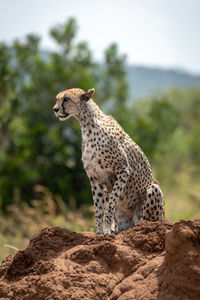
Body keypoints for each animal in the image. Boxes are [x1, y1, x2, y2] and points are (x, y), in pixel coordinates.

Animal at [52, 88, 164, 234]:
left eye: (66, 99)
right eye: (57, 99)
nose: (55, 109)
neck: (87, 125)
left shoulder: (123, 170)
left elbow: (110, 203)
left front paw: (106, 229)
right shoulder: (95, 176)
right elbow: (98, 207)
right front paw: (99, 231)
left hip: (153, 192)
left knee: (143, 220)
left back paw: (139, 227)